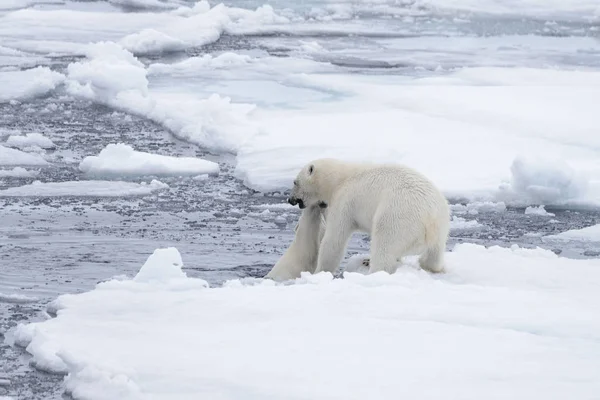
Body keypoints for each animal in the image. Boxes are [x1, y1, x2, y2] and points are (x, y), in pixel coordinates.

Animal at [288, 159, 450, 276]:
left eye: (295, 182)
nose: (290, 199)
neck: (339, 179)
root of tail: (430, 217)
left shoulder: (344, 200)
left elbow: (334, 239)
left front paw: (319, 272)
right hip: (442, 225)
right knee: (434, 254)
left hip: (397, 215)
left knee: (384, 244)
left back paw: (373, 268)